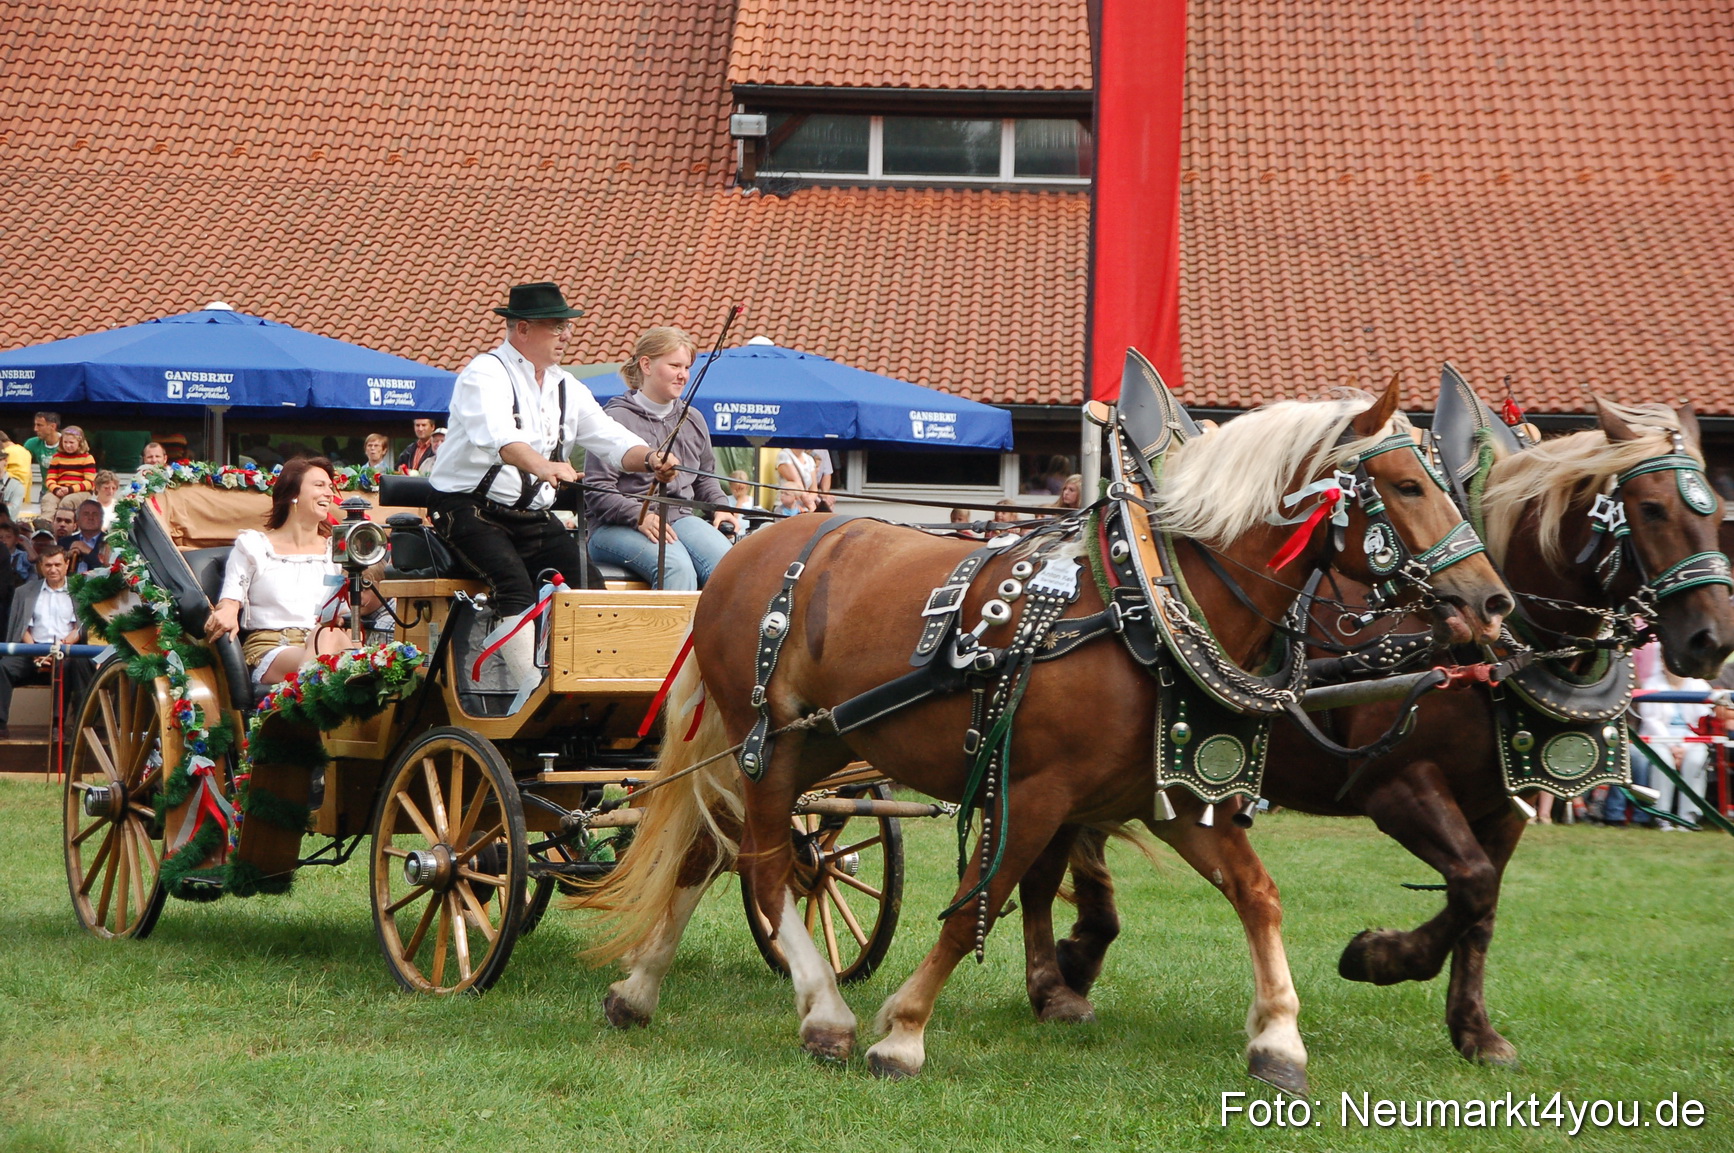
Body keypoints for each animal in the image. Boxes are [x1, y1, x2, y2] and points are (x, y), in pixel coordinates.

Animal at [574, 380, 1513, 1088]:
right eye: (1408, 486)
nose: (1491, 599)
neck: (1148, 608)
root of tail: (744, 553)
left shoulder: (1179, 793)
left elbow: (1259, 894)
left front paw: (1279, 1037)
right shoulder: (1031, 793)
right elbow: (973, 907)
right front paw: (901, 1033)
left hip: (815, 743)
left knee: (713, 852)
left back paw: (639, 989)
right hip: (767, 745)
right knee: (766, 868)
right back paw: (825, 1013)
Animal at [1035, 397, 1734, 1066]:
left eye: (1716, 507)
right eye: (1651, 508)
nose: (1712, 639)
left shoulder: (1505, 802)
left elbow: (1482, 904)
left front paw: (1474, 1029)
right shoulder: (1397, 785)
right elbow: (1472, 883)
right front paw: (1378, 957)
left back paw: (1068, 964)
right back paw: (1067, 970)